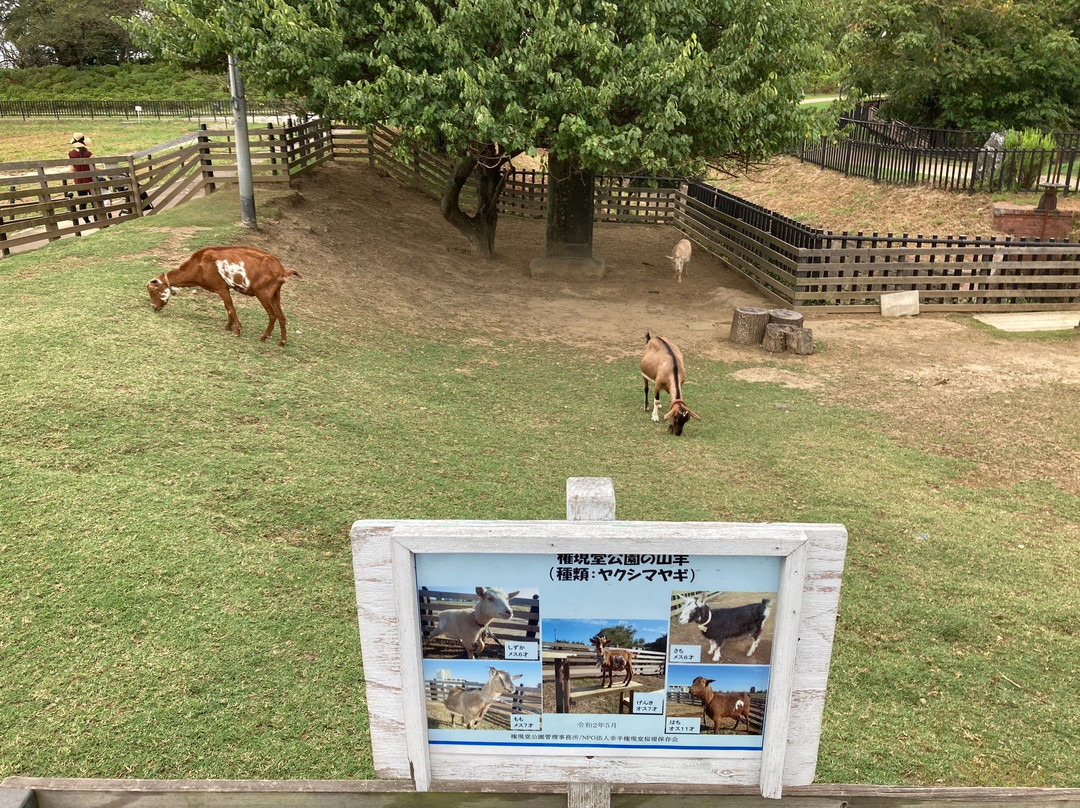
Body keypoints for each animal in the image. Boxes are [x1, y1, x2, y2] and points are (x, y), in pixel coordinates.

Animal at [145, 246, 302, 347]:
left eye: (152, 291)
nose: (153, 307)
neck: (199, 265)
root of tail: (282, 271)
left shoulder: (221, 287)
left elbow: (230, 307)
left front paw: (237, 330)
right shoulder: (225, 288)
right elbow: (228, 308)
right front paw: (228, 326)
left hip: (263, 294)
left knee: (272, 315)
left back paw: (264, 336)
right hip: (275, 295)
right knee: (282, 317)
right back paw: (282, 342)